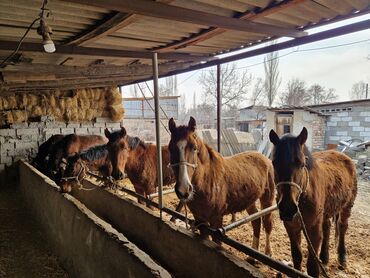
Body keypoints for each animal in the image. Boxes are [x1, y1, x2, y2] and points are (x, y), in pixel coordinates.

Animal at [168, 116, 274, 255]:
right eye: (170, 148)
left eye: (194, 148)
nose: (184, 189)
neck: (207, 181)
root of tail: (265, 158)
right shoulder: (200, 219)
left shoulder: (216, 220)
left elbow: (216, 242)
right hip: (249, 200)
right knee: (256, 220)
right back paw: (252, 253)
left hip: (267, 199)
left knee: (267, 222)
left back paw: (268, 252)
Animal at [270, 127, 356, 276]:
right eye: (274, 163)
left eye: (301, 164)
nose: (287, 208)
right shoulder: (291, 227)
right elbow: (297, 256)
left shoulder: (314, 230)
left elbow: (312, 267)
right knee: (327, 227)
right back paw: (324, 258)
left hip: (347, 206)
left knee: (342, 227)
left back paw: (342, 258)